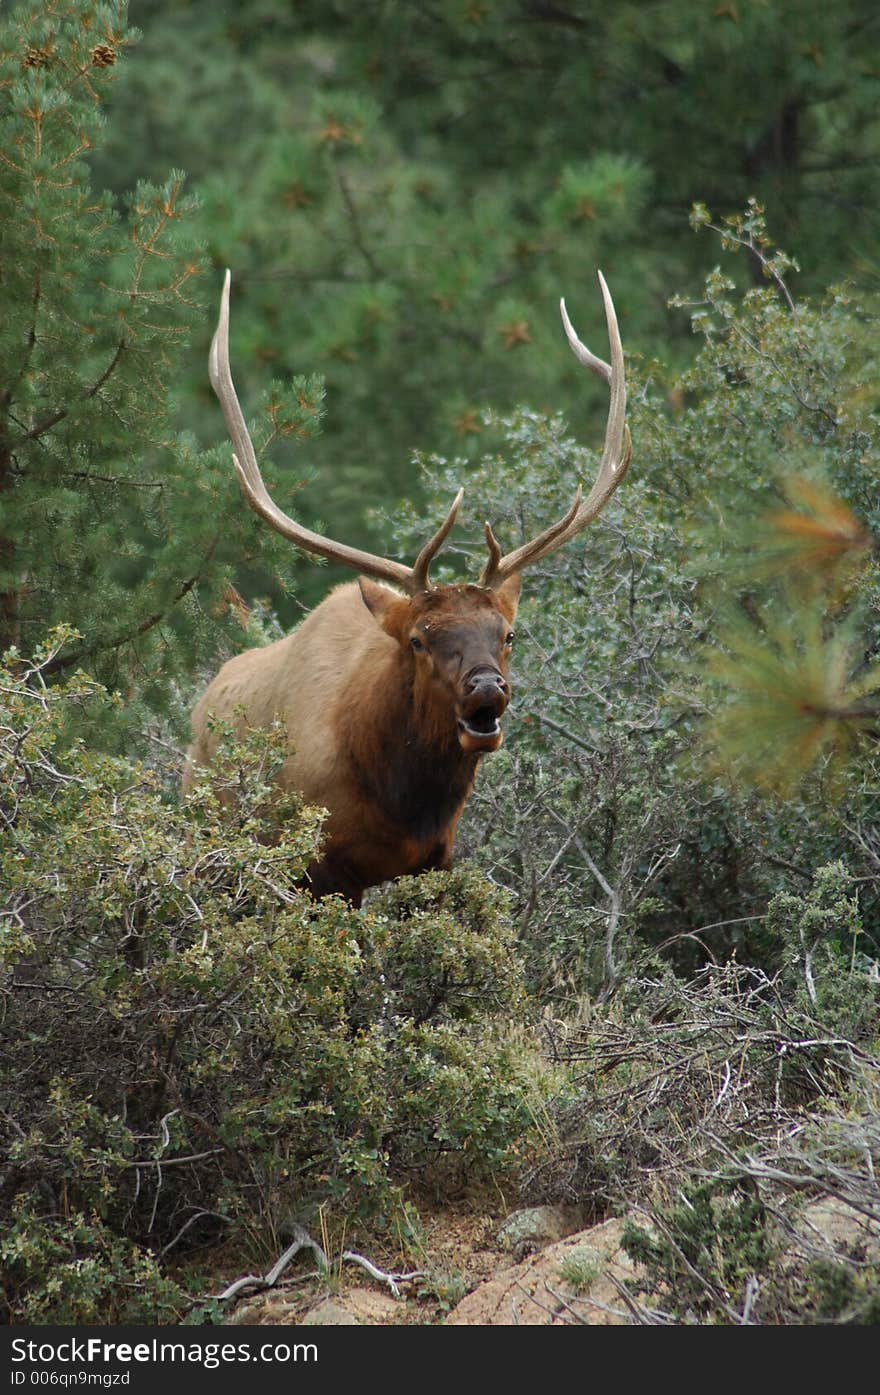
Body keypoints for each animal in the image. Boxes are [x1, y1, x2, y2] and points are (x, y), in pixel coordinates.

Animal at [185, 270, 630, 903]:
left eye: (508, 634)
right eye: (419, 638)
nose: (486, 687)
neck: (402, 802)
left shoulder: (435, 859)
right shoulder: (320, 868)